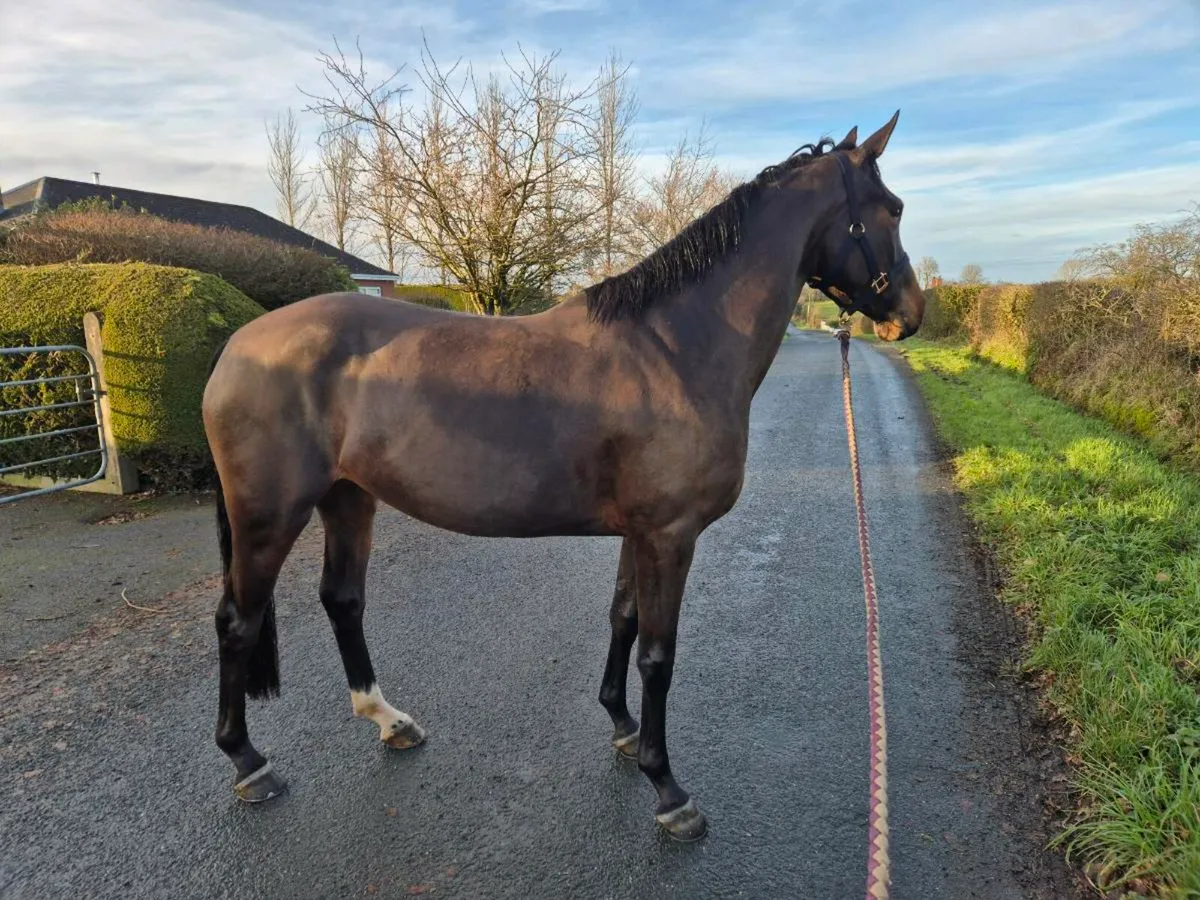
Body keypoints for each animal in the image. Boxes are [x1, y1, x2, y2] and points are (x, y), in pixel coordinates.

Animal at [201, 111, 923, 842]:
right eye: (892, 208)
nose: (911, 314)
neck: (676, 349)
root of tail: (238, 346)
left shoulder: (643, 532)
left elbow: (623, 620)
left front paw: (623, 727)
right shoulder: (671, 534)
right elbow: (658, 656)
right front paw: (668, 789)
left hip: (349, 499)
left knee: (342, 600)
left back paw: (389, 721)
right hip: (269, 516)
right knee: (237, 621)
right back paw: (248, 763)